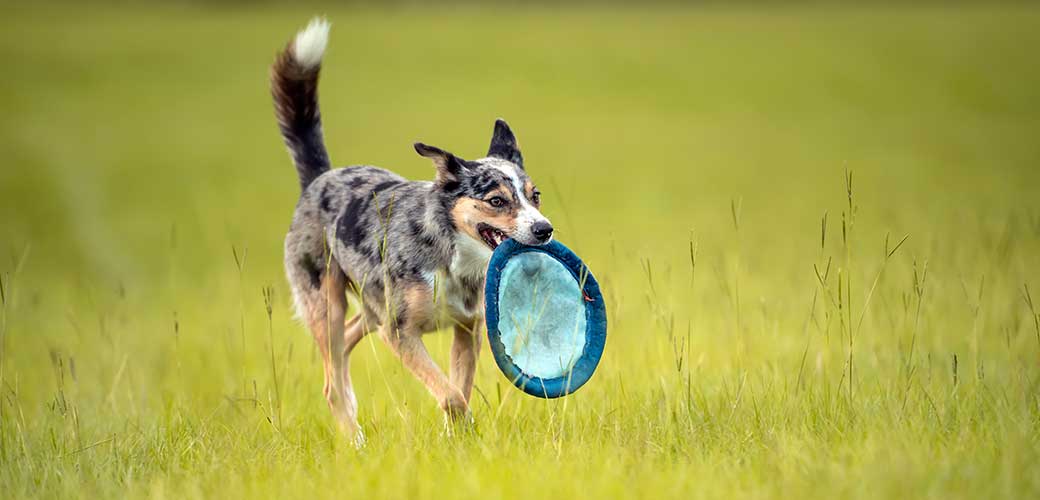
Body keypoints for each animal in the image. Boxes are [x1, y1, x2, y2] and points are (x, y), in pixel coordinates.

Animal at [272, 19, 557, 440]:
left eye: (534, 196)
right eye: (496, 201)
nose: (544, 230)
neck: (452, 256)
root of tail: (319, 179)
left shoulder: (466, 330)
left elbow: (459, 389)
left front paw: (457, 437)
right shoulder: (400, 333)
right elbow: (451, 395)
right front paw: (461, 429)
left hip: (372, 307)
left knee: (348, 345)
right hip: (328, 304)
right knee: (332, 380)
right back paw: (355, 439)